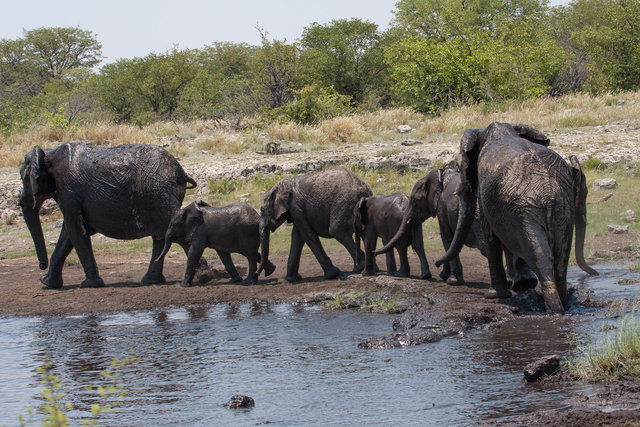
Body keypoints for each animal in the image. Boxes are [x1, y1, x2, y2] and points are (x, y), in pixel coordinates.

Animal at [18, 142, 196, 290]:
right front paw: (47, 283)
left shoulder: (69, 192)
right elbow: (68, 234)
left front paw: (89, 285)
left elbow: (75, 231)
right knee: (160, 237)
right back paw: (151, 281)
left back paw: (199, 278)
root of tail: (179, 172)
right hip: (158, 195)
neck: (49, 153)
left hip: (157, 194)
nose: (41, 265)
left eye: (22, 177)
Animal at [432, 121, 596, 314]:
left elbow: (491, 237)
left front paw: (493, 295)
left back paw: (554, 310)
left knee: (541, 257)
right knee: (561, 255)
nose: (436, 263)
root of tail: (548, 190)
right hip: (559, 207)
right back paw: (562, 304)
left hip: (526, 208)